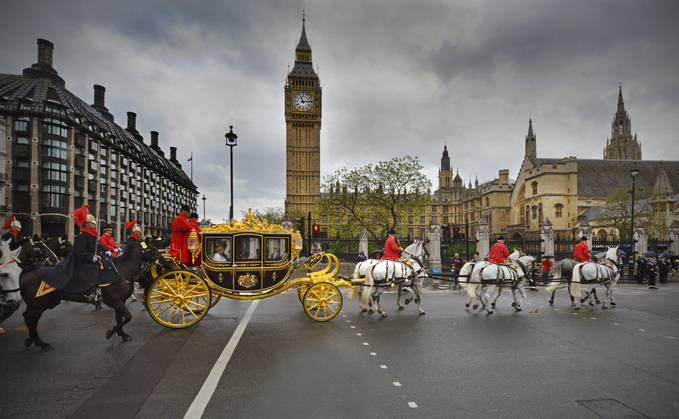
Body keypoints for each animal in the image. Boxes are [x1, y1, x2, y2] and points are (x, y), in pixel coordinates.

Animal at [20, 240, 165, 352]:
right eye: (152, 249)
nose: (163, 260)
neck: (122, 272)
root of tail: (25, 275)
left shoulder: (120, 301)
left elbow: (120, 319)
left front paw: (122, 335)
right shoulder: (116, 302)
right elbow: (128, 317)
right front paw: (110, 332)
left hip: (40, 305)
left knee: (29, 319)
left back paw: (30, 340)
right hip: (37, 306)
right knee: (30, 321)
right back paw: (41, 343)